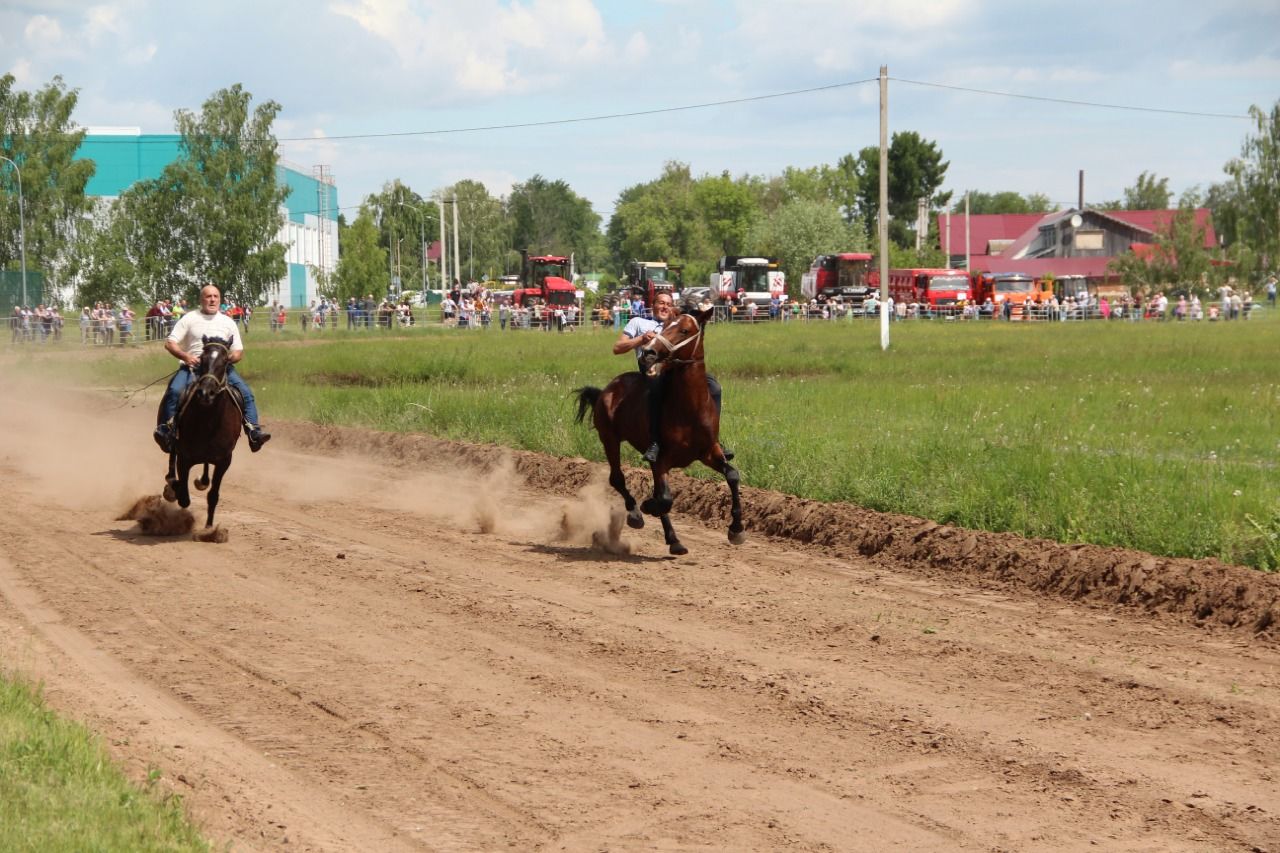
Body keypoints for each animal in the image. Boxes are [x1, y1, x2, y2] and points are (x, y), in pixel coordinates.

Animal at [158, 333, 243, 527]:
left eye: (225, 360)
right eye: (202, 358)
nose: (206, 393)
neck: (209, 421)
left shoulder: (224, 460)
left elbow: (213, 495)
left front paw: (209, 528)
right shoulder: (184, 458)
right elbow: (184, 498)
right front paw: (173, 490)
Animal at [576, 303, 747, 550]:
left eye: (685, 330)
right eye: (664, 326)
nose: (649, 352)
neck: (690, 409)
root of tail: (606, 391)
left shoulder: (708, 452)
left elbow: (732, 475)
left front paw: (736, 529)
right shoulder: (662, 460)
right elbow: (664, 499)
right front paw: (647, 506)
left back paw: (673, 539)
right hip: (609, 439)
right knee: (617, 479)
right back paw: (638, 515)